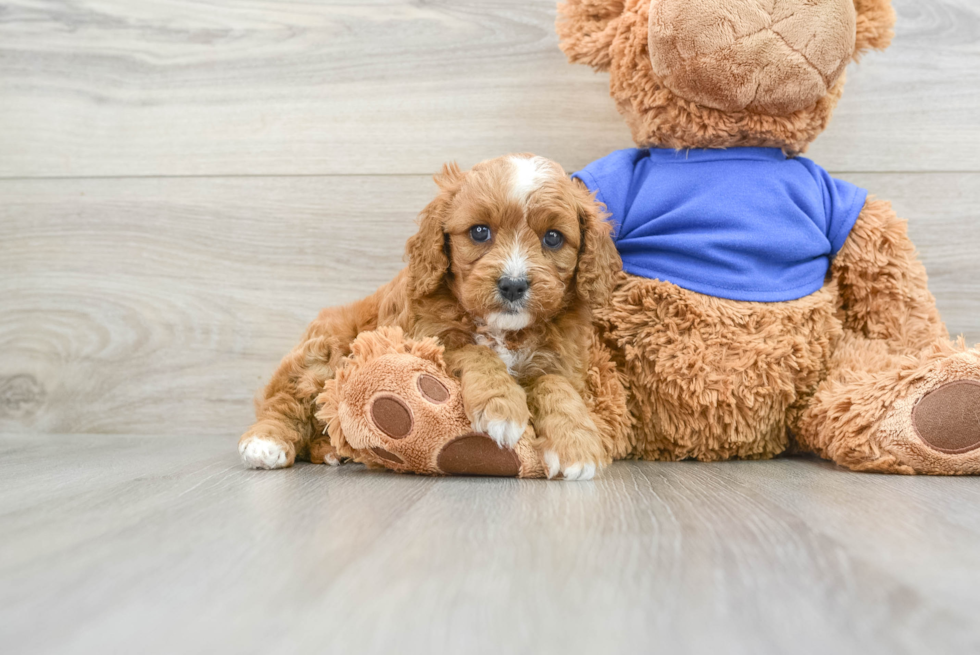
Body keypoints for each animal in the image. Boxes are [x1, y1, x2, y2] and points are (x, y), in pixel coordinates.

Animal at [237, 154, 620, 482]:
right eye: (479, 232)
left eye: (553, 238)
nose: (513, 285)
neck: (503, 329)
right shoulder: (426, 338)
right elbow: (474, 351)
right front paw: (501, 406)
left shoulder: (559, 362)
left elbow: (555, 387)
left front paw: (576, 445)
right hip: (324, 352)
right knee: (287, 401)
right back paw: (266, 442)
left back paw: (333, 450)